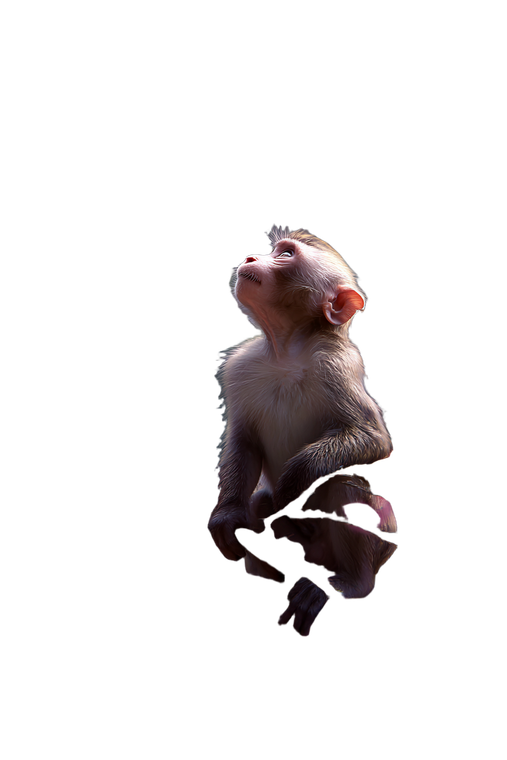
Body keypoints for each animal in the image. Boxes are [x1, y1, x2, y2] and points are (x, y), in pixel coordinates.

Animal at [208, 224, 395, 626]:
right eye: (273, 250)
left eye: (286, 255)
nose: (251, 258)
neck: (287, 349)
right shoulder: (239, 367)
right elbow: (243, 440)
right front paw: (228, 515)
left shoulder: (337, 365)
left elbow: (371, 439)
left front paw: (291, 485)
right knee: (264, 509)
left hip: (379, 541)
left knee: (342, 485)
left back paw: (343, 584)